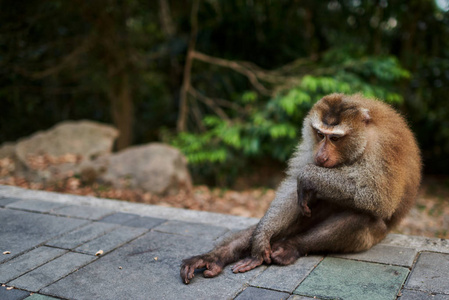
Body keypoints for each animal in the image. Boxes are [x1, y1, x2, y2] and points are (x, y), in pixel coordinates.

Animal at [178, 93, 420, 284]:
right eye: (320, 135)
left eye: (335, 138)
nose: (321, 155)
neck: (364, 140)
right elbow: (291, 191)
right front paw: (261, 237)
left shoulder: (384, 147)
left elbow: (379, 198)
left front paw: (308, 175)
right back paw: (216, 258)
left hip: (375, 236)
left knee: (361, 216)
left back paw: (291, 246)